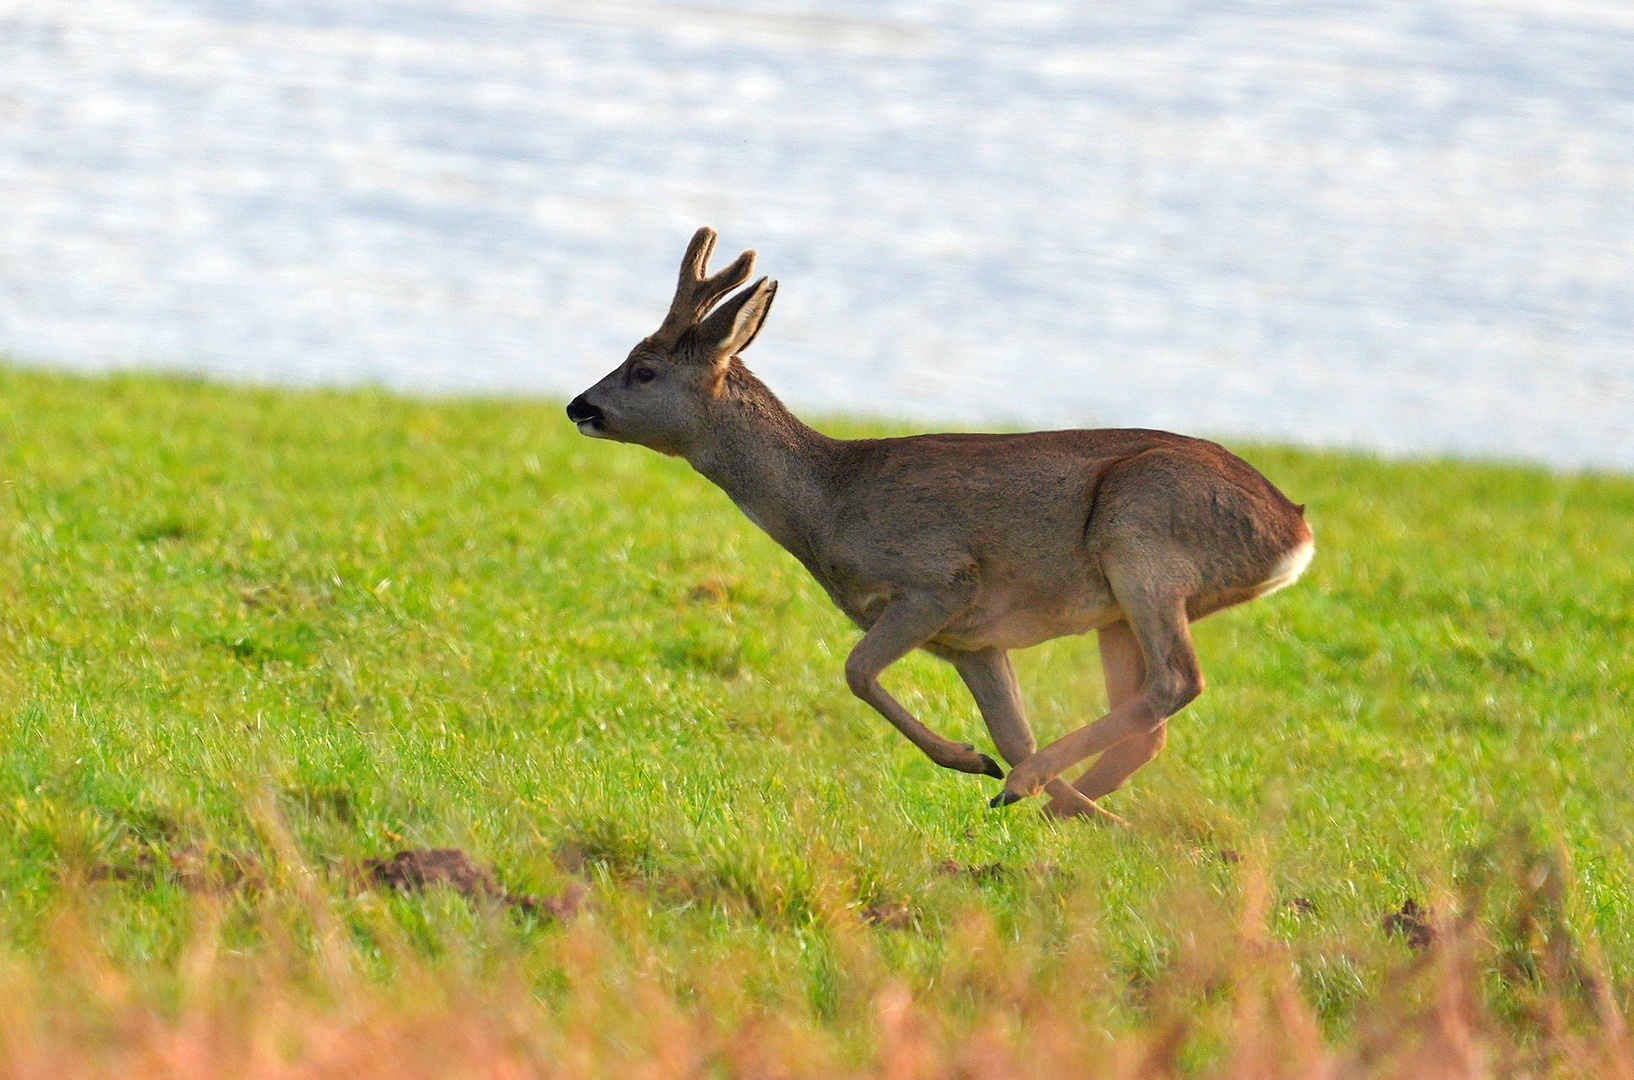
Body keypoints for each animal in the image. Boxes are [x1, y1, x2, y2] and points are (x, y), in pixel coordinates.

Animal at [565, 227, 1313, 816]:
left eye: (644, 369)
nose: (578, 406)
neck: (828, 502)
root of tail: (1296, 534)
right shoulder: (973, 641)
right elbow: (1013, 730)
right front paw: (1006, 774)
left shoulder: (940, 580)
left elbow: (857, 672)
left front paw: (977, 764)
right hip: (1117, 608)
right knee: (1149, 721)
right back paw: (1061, 805)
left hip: (1141, 535)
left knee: (1177, 680)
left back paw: (1030, 790)